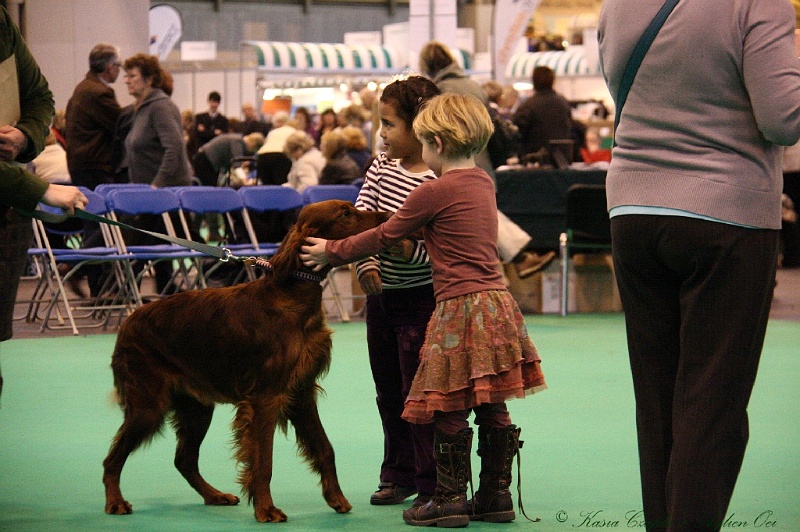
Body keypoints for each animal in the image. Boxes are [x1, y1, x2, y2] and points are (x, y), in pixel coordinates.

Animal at [101, 198, 390, 520]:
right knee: (112, 458)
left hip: (197, 407)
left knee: (184, 459)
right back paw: (116, 502)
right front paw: (266, 509)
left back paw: (215, 495)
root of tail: (128, 322)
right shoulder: (266, 396)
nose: (386, 217)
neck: (293, 297)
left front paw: (336, 498)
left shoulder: (301, 391)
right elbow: (263, 460)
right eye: (344, 214)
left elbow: (325, 448)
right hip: (148, 406)